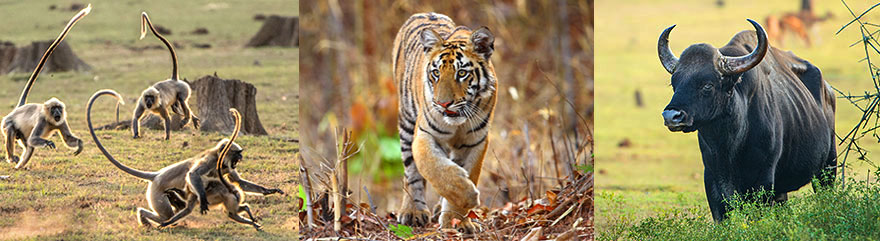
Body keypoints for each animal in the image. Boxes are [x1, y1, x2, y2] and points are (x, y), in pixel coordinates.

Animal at [1, 4, 91, 169]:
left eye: (59, 108)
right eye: (53, 108)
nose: (57, 112)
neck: (50, 121)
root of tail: (17, 109)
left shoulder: (61, 120)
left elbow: (67, 139)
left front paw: (80, 143)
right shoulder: (42, 120)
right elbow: (34, 139)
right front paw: (48, 142)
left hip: (21, 133)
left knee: (29, 146)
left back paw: (20, 167)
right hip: (6, 123)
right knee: (12, 131)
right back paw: (11, 158)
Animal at [85, 91, 278, 228]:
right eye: (237, 154)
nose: (241, 158)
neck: (218, 158)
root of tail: (157, 175)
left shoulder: (226, 166)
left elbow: (238, 181)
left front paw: (268, 191)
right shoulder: (210, 161)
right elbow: (193, 174)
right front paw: (203, 200)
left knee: (175, 209)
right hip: (156, 194)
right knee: (168, 214)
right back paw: (152, 217)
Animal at [132, 12, 199, 140]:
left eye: (151, 97)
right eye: (147, 97)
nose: (149, 101)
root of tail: (174, 80)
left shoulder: (161, 105)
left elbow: (167, 118)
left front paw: (167, 136)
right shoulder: (141, 103)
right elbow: (136, 117)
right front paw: (136, 134)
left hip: (184, 88)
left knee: (182, 100)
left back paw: (187, 119)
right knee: (176, 108)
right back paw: (192, 118)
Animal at [390, 11, 496, 233]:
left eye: (462, 73)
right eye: (436, 73)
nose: (443, 103)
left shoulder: (475, 141)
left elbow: (467, 172)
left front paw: (457, 219)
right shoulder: (424, 133)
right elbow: (432, 166)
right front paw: (468, 197)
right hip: (406, 124)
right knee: (410, 172)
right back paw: (412, 212)